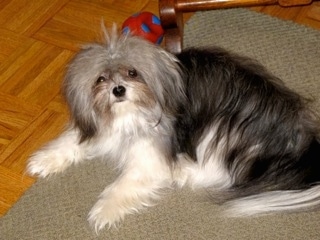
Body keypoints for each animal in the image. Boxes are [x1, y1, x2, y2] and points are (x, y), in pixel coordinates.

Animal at [27, 27, 320, 231]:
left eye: (132, 72)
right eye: (101, 79)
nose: (118, 90)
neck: (127, 114)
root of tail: (302, 142)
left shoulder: (150, 154)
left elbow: (124, 183)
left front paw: (102, 211)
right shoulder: (100, 128)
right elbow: (71, 141)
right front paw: (44, 160)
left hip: (221, 130)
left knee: (221, 173)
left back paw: (184, 172)